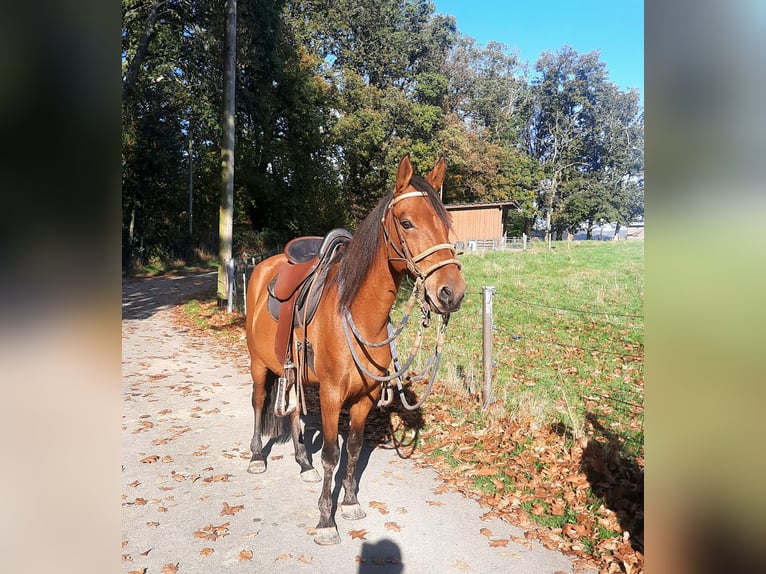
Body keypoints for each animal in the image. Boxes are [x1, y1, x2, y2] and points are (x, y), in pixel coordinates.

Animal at [246, 155, 464, 548]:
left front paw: (348, 502)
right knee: (258, 403)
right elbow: (332, 454)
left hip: (292, 373)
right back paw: (257, 456)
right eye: (407, 223)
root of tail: (263, 267)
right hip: (258, 365)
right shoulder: (332, 396)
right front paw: (325, 519)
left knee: (294, 412)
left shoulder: (365, 398)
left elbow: (354, 448)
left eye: (446, 224)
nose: (451, 292)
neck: (355, 312)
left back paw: (303, 463)